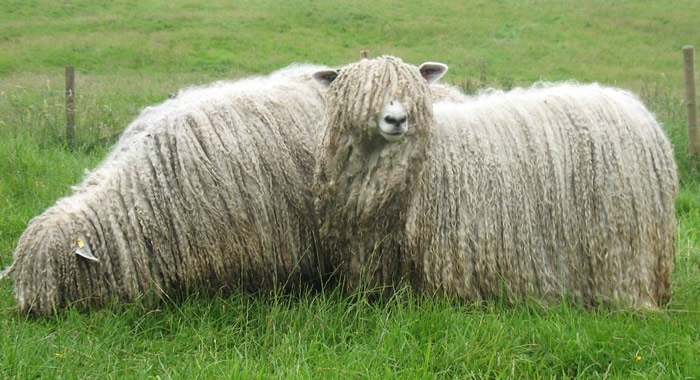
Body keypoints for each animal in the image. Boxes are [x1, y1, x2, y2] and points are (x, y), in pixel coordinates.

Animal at [312, 57, 680, 312]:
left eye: (415, 90)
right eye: (359, 95)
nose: (397, 120)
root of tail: (638, 110)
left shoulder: (454, 244)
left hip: (620, 234)